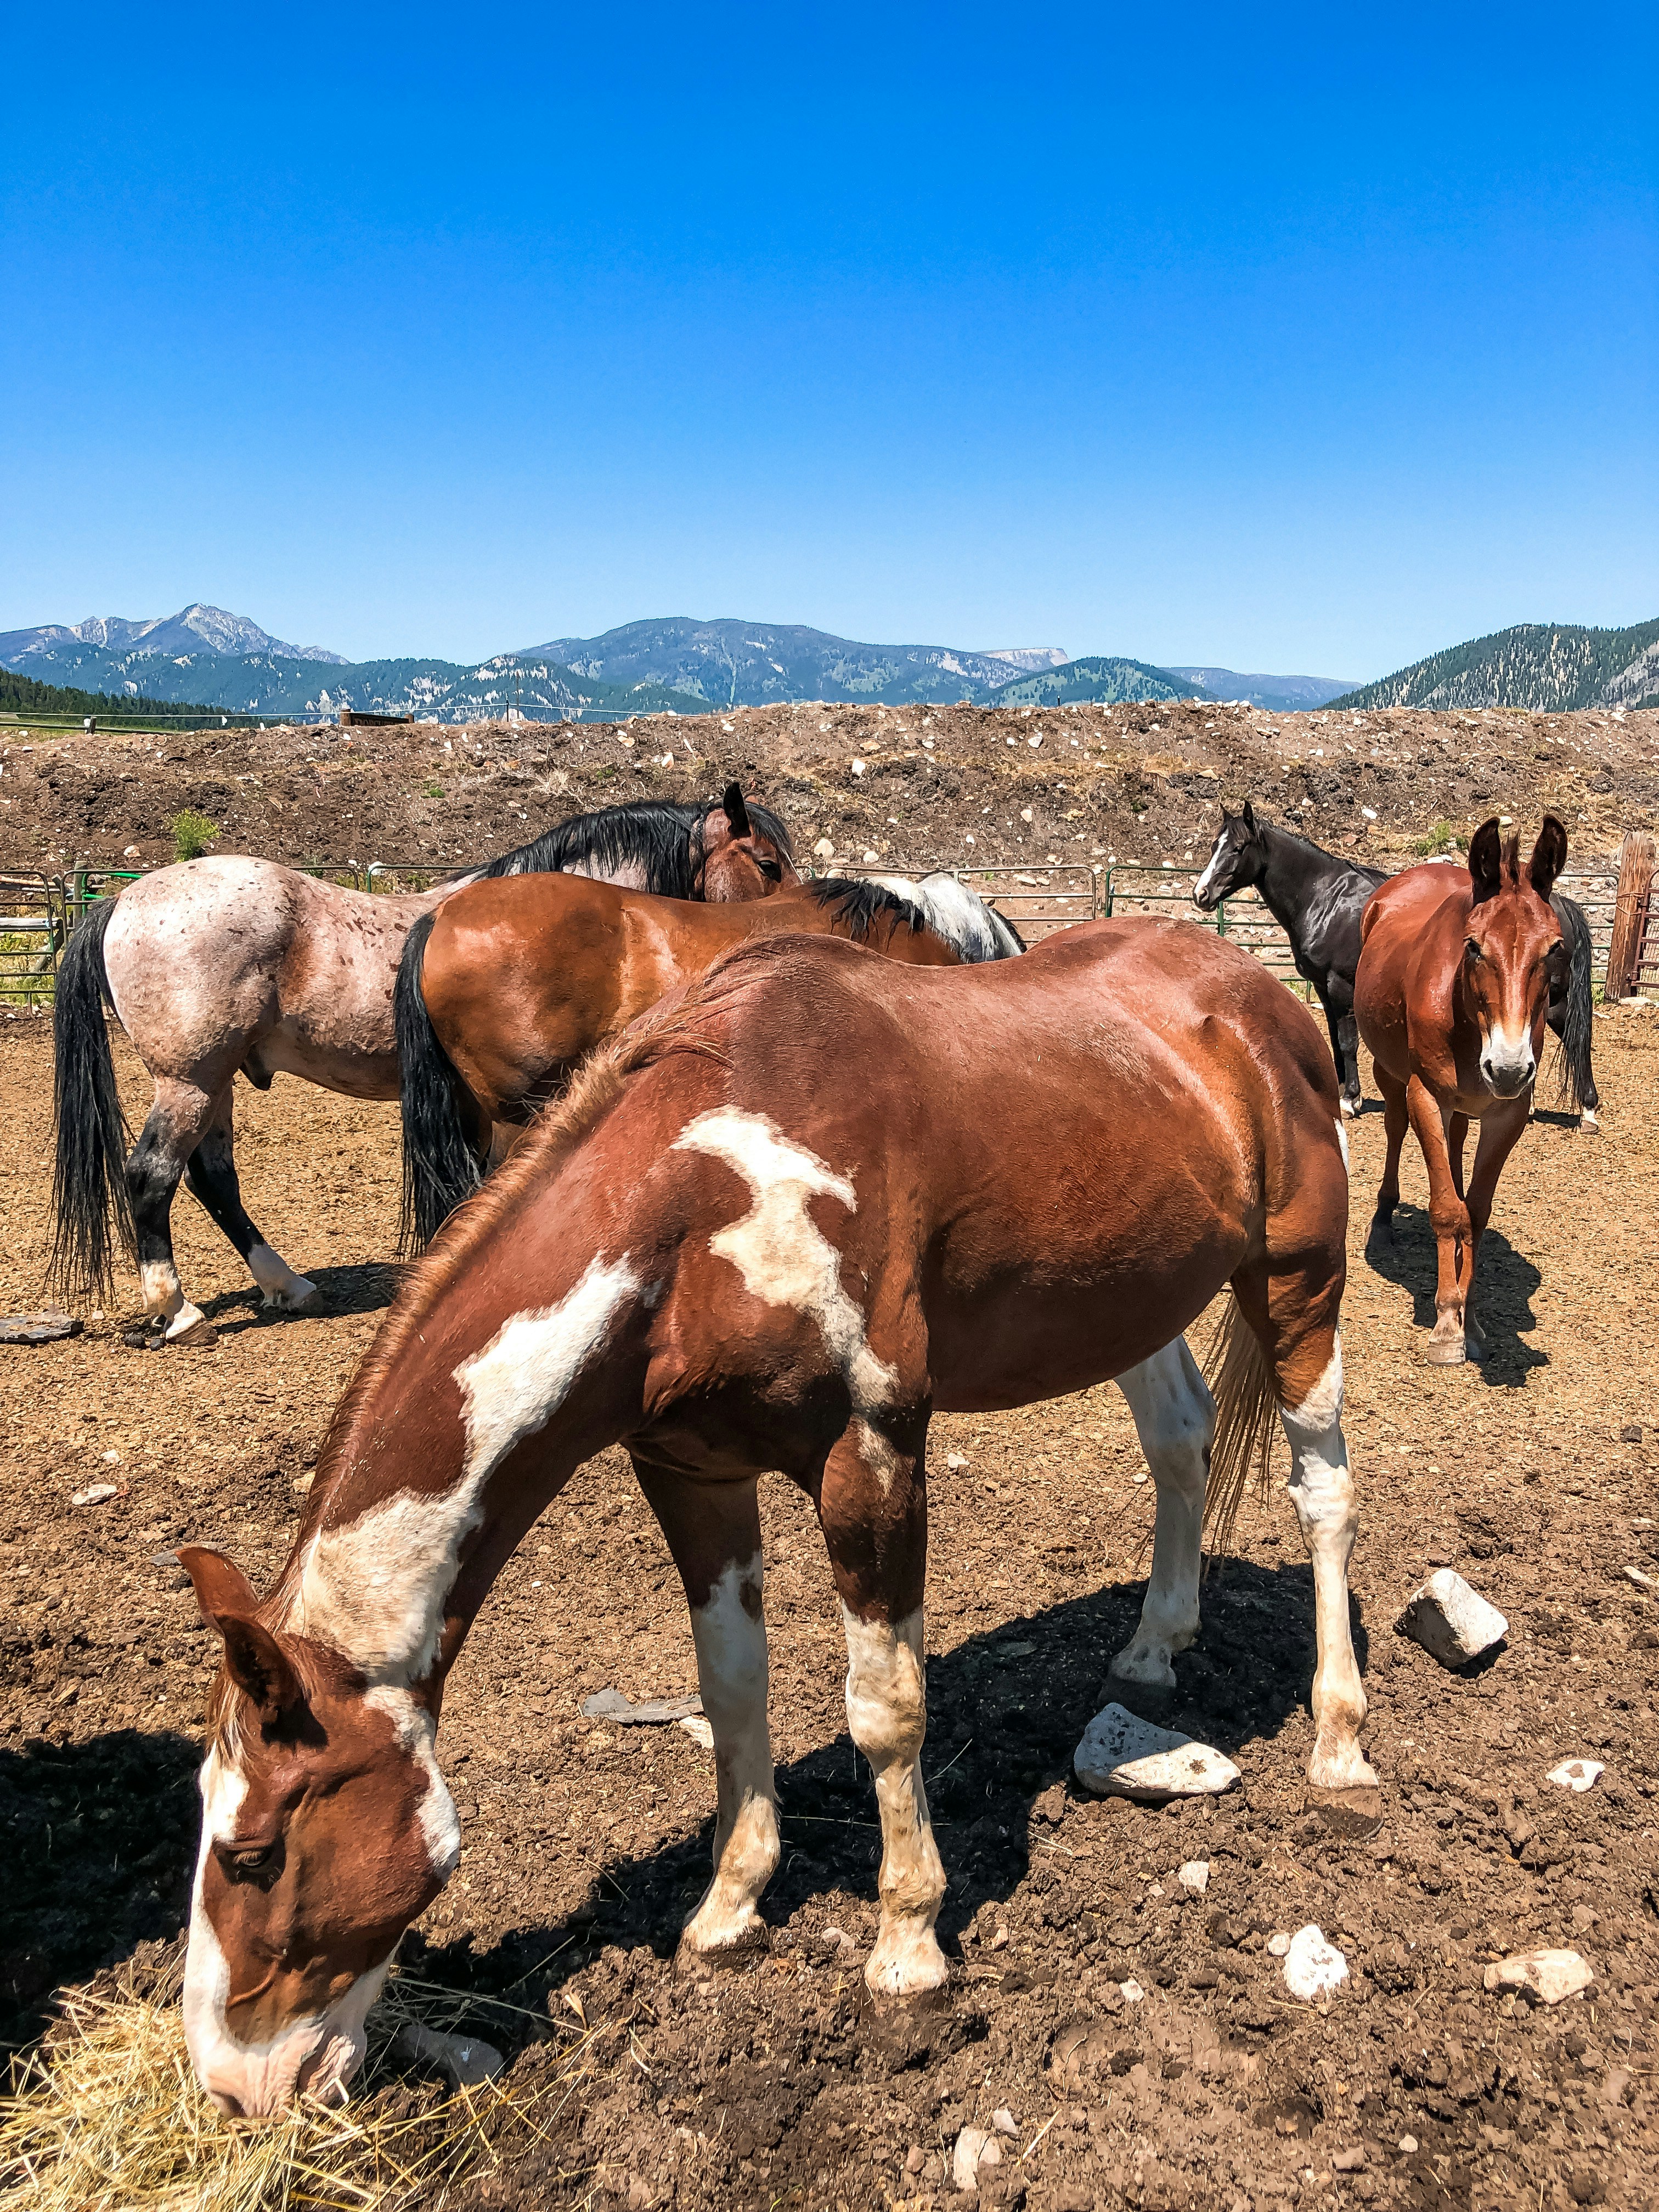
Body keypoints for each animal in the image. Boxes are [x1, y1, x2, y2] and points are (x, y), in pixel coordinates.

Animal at [48, 786, 795, 1343]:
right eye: (767, 863)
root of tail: (122, 900)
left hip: (216, 1082)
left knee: (214, 1180)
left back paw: (288, 1287)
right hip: (191, 1081)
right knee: (153, 1176)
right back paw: (177, 1311)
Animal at [175, 921, 1372, 2115]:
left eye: (253, 1853)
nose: (232, 2086)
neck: (705, 1208)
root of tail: (1250, 989)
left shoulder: (868, 1458)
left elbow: (886, 1708)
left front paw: (906, 1949)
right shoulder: (688, 1472)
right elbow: (730, 1684)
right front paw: (729, 1904)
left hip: (1295, 1279)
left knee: (1323, 1494)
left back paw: (1339, 1744)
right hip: (1134, 1299)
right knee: (1178, 1440)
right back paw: (1153, 1648)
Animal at [1193, 802, 1599, 1125]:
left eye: (1238, 848)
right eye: (1215, 845)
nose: (1201, 894)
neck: (1325, 898)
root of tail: (1561, 904)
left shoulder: (1340, 987)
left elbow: (1347, 1043)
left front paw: (1350, 1100)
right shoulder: (1325, 989)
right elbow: (1335, 1042)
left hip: (1554, 999)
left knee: (1575, 1041)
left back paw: (1584, 1111)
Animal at [1355, 814, 1567, 1365]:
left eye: (1554, 948)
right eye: (1473, 946)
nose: (1509, 1068)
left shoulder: (1505, 1114)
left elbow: (1476, 1210)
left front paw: (1471, 1318)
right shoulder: (1426, 1095)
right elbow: (1448, 1210)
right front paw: (1448, 1323)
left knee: (1453, 1148)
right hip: (1390, 1075)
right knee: (1395, 1131)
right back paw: (1384, 1221)